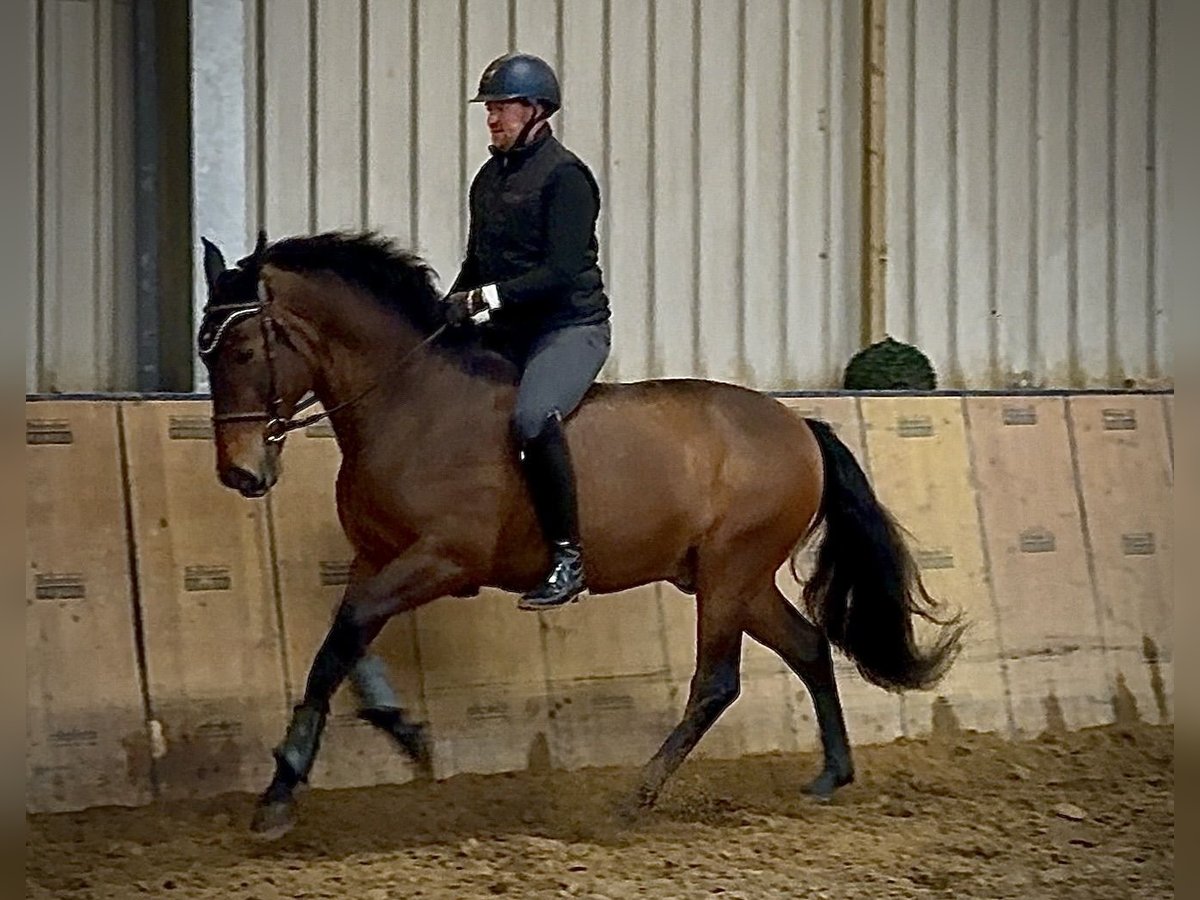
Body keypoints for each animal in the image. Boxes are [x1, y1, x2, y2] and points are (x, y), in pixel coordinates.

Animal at [197, 229, 963, 838]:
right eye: (206, 355)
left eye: (243, 349)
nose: (240, 473)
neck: (409, 406)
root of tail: (799, 425)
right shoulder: (375, 557)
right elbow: (343, 647)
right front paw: (399, 734)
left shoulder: (442, 560)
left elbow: (342, 640)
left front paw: (282, 790)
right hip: (736, 579)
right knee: (806, 645)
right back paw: (831, 775)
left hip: (730, 573)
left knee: (717, 682)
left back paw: (637, 798)